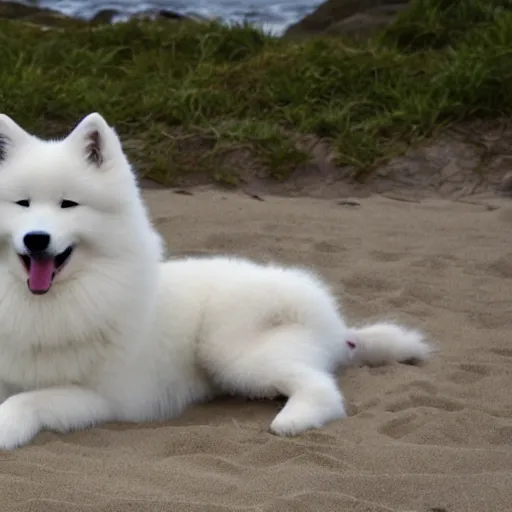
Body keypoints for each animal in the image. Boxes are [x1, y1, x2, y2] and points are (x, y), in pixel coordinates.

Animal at [0, 114, 430, 450]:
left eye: (67, 204)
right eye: (22, 203)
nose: (36, 239)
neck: (44, 302)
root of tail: (338, 324)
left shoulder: (99, 395)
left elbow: (26, 399)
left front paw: (7, 428)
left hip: (231, 353)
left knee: (322, 389)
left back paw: (292, 421)